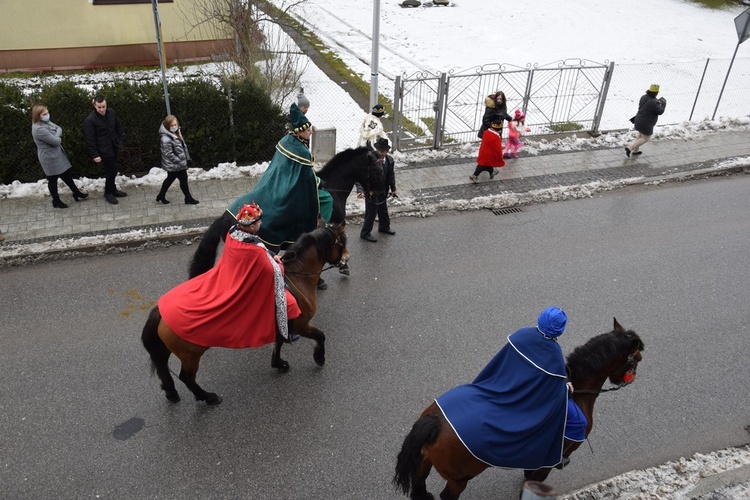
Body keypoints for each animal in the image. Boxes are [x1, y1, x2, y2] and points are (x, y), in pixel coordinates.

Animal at [141, 223, 350, 406]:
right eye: (342, 240)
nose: (346, 260)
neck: (297, 278)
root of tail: (160, 311)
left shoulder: (281, 325)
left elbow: (279, 343)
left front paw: (279, 363)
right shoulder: (301, 324)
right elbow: (320, 336)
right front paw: (319, 357)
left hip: (168, 350)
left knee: (162, 368)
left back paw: (171, 392)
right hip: (191, 355)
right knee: (187, 377)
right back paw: (208, 397)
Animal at [394, 320, 648, 500]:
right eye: (636, 358)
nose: (629, 380)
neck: (578, 395)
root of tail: (434, 421)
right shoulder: (552, 459)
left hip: (425, 462)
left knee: (419, 487)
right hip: (459, 478)